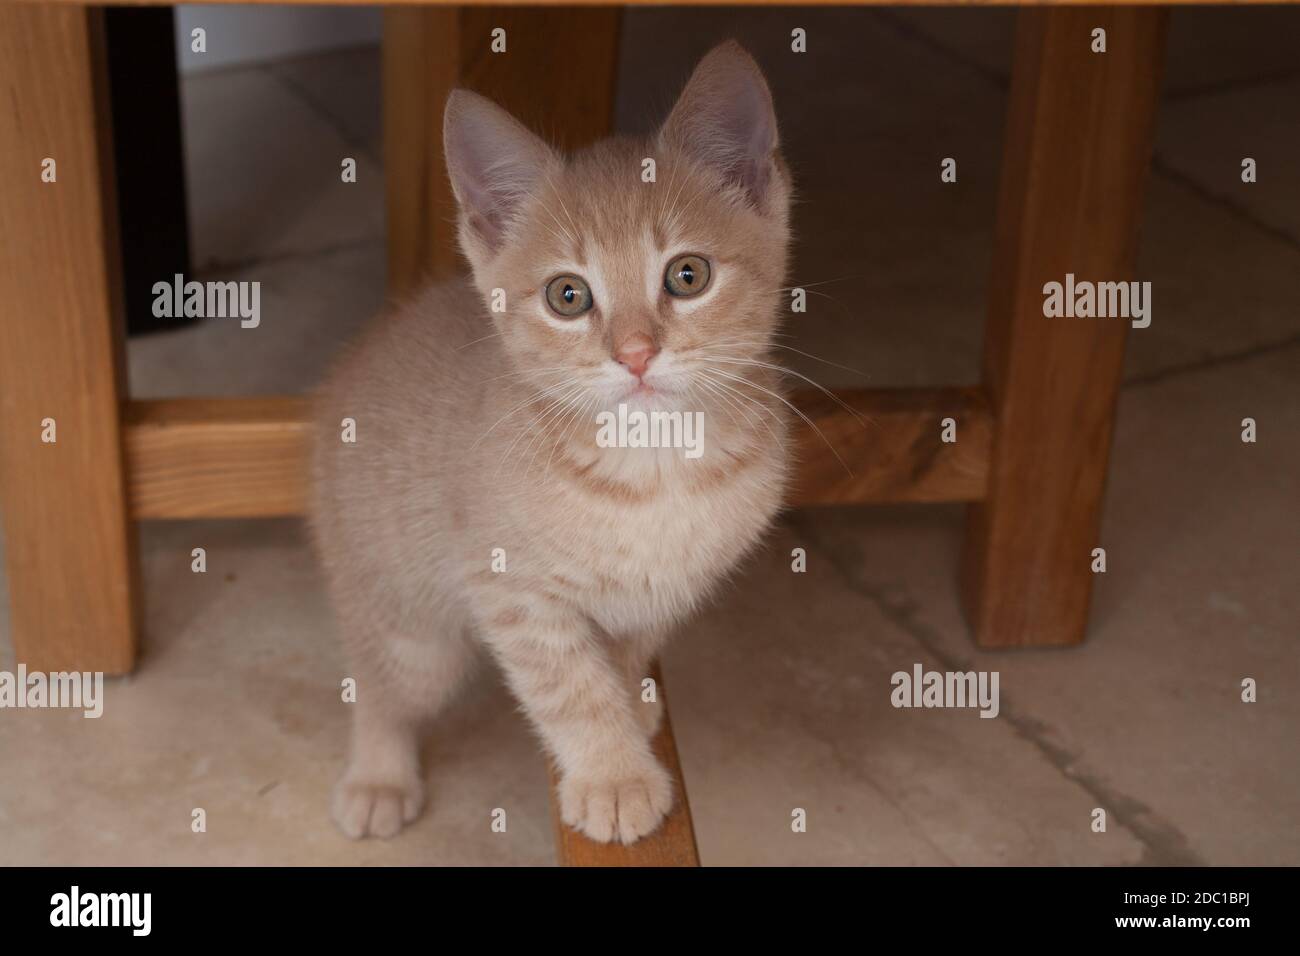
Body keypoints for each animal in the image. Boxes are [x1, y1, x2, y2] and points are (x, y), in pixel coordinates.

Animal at [312, 42, 790, 842]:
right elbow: (569, 686)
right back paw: (377, 776)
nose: (635, 353)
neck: (654, 467)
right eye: (569, 296)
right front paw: (613, 776)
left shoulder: (658, 595)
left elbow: (619, 662)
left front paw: (630, 717)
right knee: (379, 686)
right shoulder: (512, 592)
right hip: (407, 620)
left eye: (688, 275)